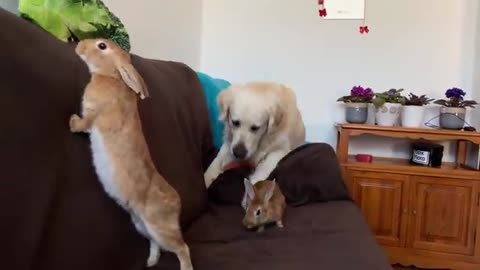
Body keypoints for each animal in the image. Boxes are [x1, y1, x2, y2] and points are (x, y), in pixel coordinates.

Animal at [69, 38, 193, 270]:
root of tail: (177, 206)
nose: (79, 45)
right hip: (140, 224)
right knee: (155, 243)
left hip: (160, 228)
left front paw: (71, 122)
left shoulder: (93, 115)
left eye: (102, 46)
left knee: (182, 248)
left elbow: (84, 124)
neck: (111, 76)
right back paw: (150, 262)